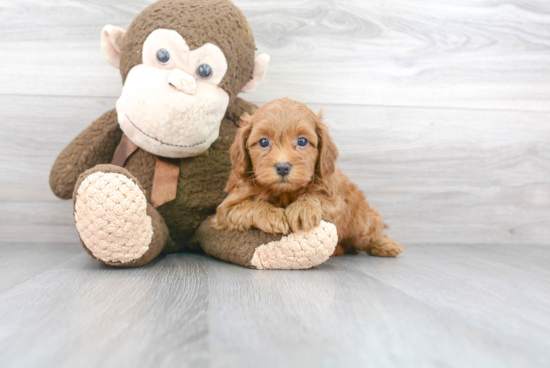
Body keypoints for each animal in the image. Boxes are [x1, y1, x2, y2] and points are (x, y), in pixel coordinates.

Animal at [213, 99, 404, 258]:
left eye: (302, 141)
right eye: (263, 142)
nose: (282, 167)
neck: (284, 193)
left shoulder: (336, 202)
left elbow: (315, 196)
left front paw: (302, 209)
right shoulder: (225, 211)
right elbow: (249, 205)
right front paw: (272, 216)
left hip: (360, 220)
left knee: (372, 230)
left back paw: (385, 245)